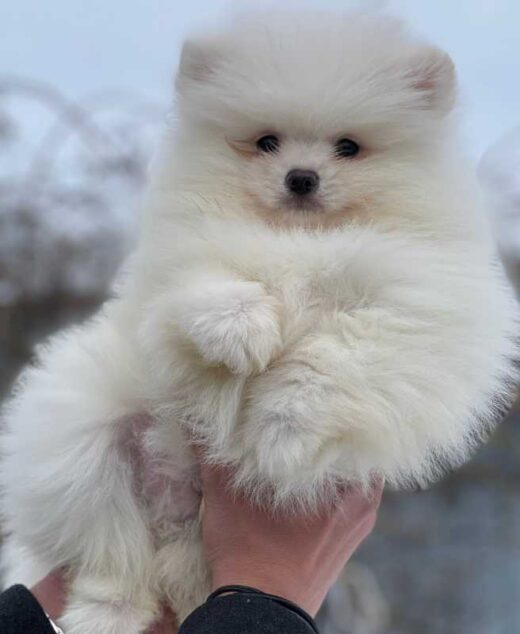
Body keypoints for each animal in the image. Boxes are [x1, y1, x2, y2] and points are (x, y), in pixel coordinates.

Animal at [0, 9, 516, 632]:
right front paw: (241, 334)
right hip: (83, 442)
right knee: (112, 554)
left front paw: (282, 426)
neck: (300, 239)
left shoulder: (416, 306)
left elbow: (336, 357)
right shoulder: (180, 261)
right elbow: (208, 283)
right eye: (266, 142)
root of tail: (172, 529)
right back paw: (106, 613)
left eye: (348, 147)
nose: (301, 176)